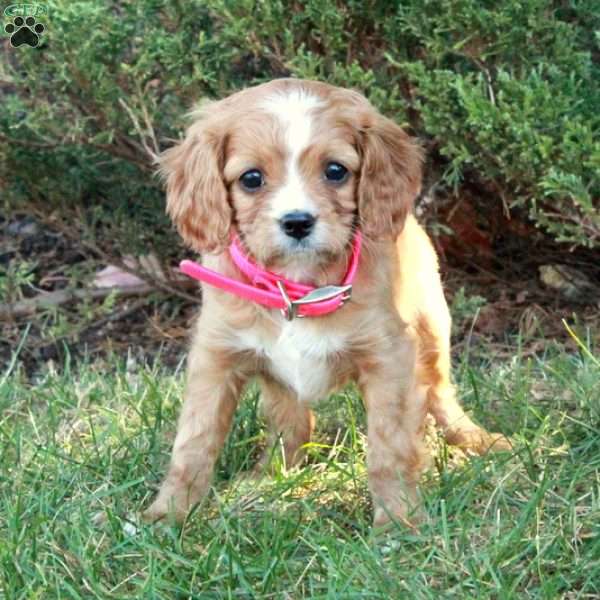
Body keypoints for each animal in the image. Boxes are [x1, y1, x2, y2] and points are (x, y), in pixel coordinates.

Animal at [145, 76, 510, 524]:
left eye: (335, 170)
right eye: (251, 178)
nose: (297, 222)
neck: (299, 286)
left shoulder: (389, 356)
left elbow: (389, 448)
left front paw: (398, 521)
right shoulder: (216, 356)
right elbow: (194, 442)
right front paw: (167, 516)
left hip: (432, 329)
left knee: (439, 394)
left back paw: (478, 439)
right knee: (295, 422)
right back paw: (265, 478)